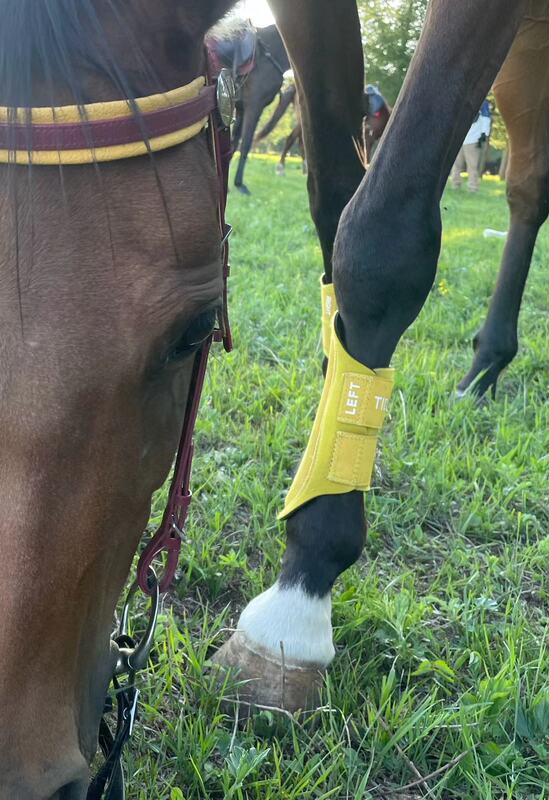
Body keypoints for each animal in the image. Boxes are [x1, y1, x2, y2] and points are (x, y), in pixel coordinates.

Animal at [1, 1, 548, 797]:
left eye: (194, 332)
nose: (28, 775)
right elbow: (335, 194)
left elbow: (381, 237)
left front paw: (297, 607)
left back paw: (484, 368)